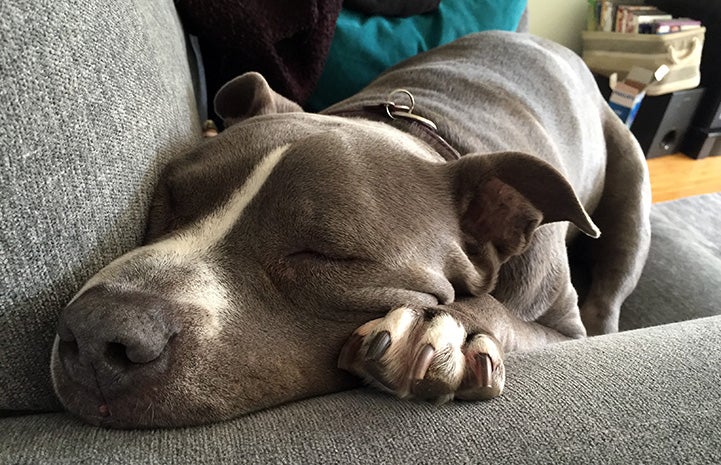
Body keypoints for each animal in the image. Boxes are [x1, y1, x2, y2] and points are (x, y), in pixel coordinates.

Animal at [49, 30, 648, 426]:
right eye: (169, 198)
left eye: (326, 256)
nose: (97, 331)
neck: (423, 134)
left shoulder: (565, 331)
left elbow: (503, 314)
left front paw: (441, 331)